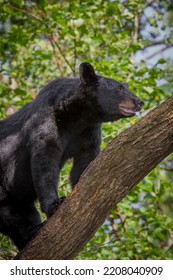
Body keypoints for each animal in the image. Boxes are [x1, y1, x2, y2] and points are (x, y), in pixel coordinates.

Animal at [0, 63, 143, 249]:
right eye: (119, 88)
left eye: (126, 86)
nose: (139, 102)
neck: (77, 116)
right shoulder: (46, 120)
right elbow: (44, 161)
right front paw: (55, 204)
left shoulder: (88, 130)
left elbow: (85, 161)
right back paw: (31, 232)